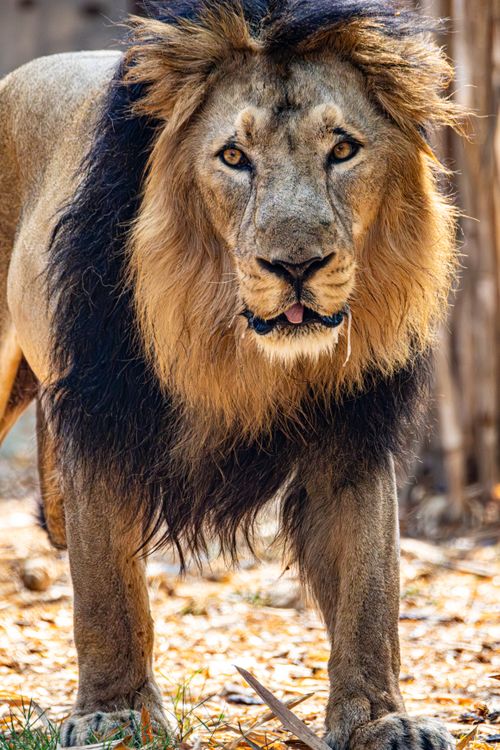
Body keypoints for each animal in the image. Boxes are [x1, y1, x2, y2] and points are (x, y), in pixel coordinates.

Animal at [0, 0, 462, 747]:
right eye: (235, 158)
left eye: (342, 150)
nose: (296, 266)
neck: (236, 346)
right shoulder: (102, 416)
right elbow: (108, 594)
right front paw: (115, 714)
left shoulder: (353, 432)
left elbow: (371, 590)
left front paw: (381, 718)